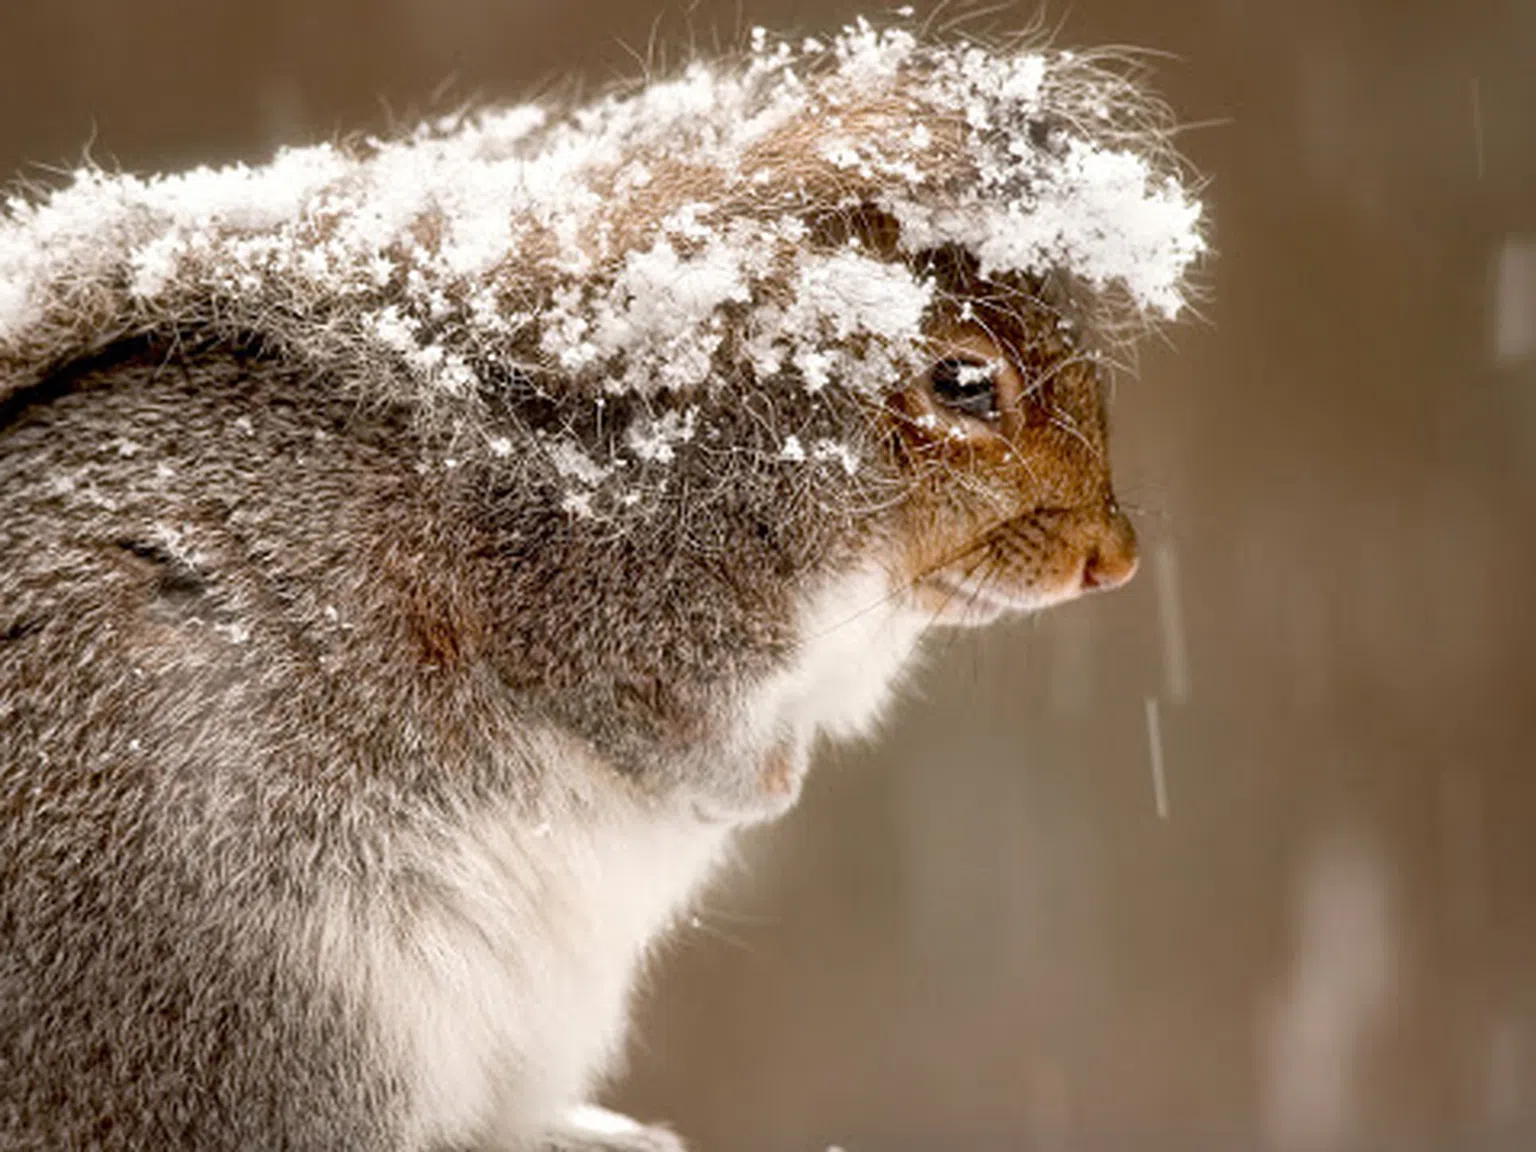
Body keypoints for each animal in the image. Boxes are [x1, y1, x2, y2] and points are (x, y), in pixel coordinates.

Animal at [0, 18, 1198, 1152]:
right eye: (962, 383)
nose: (1116, 557)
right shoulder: (586, 607)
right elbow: (661, 727)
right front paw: (764, 786)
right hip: (266, 1005)